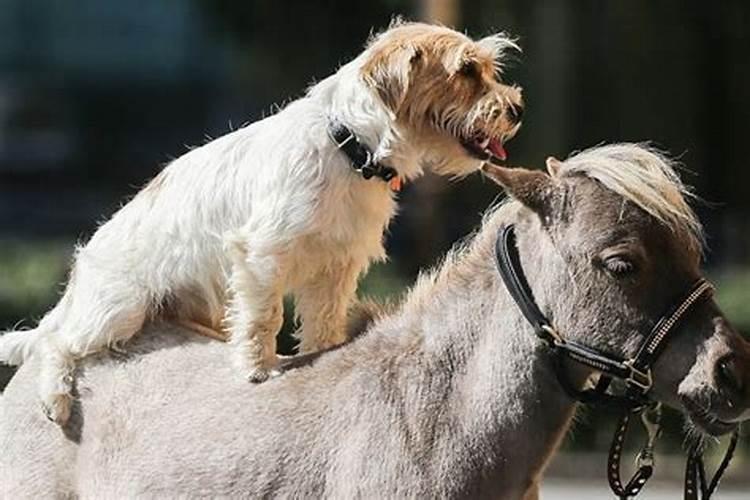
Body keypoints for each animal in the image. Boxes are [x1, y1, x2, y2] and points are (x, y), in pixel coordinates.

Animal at [0, 21, 524, 424]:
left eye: (488, 68)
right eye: (466, 71)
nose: (517, 108)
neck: (348, 147)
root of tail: (79, 278)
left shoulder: (336, 268)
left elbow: (324, 322)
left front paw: (322, 357)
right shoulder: (261, 255)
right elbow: (263, 317)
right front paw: (256, 369)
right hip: (118, 310)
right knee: (56, 344)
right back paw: (55, 399)